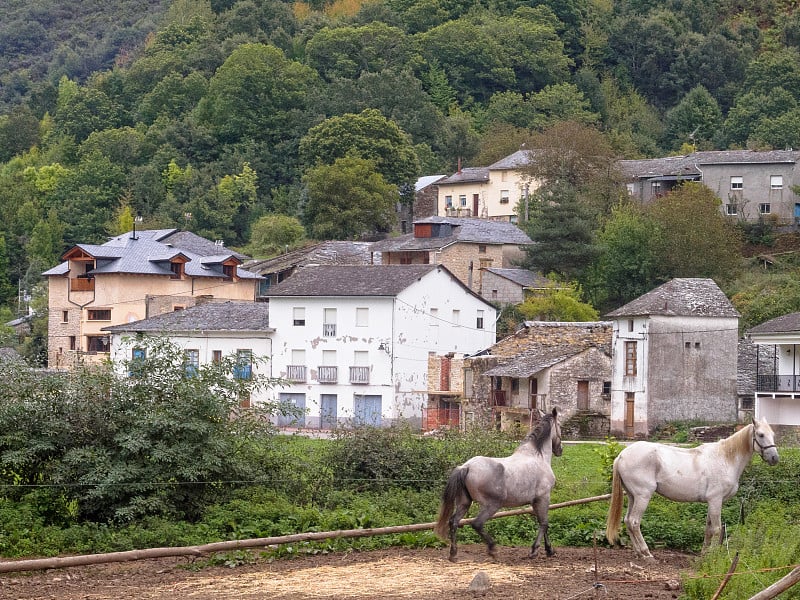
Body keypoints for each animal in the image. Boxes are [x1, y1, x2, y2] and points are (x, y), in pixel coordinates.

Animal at [432, 408, 564, 564]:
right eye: (560, 425)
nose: (560, 450)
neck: (538, 456)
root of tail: (466, 467)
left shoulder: (535, 501)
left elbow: (542, 523)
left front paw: (549, 550)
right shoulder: (543, 498)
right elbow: (544, 523)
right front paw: (536, 551)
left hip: (464, 503)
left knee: (454, 522)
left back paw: (453, 554)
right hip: (492, 505)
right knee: (477, 523)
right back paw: (493, 550)